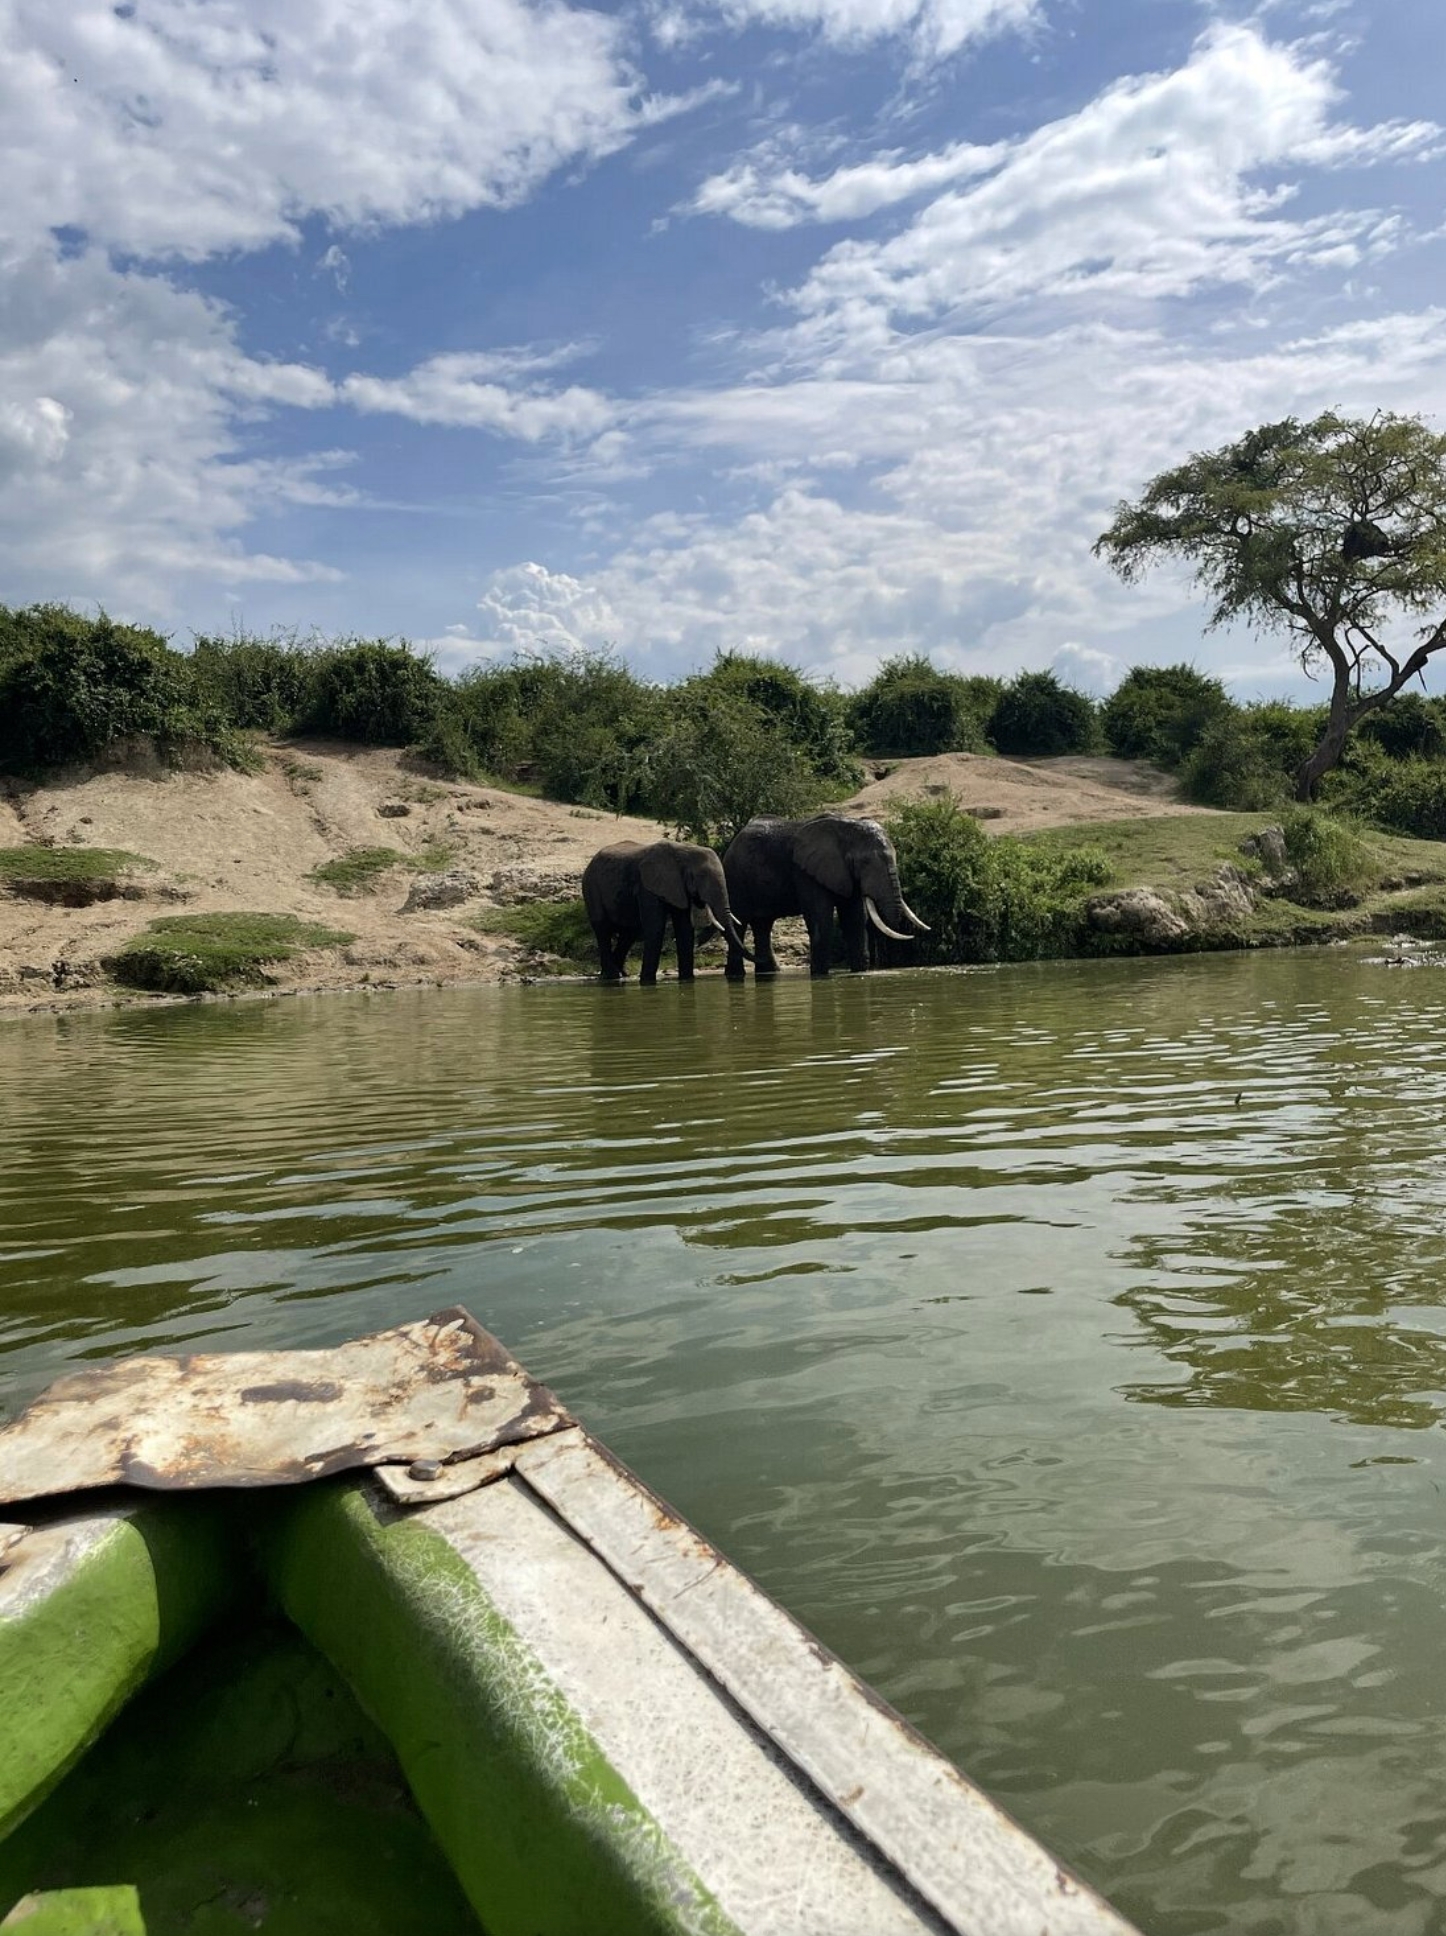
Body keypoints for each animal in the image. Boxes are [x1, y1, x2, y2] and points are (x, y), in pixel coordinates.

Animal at [581, 839, 751, 986]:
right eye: (700, 877)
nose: (700, 942)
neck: (683, 850)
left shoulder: (678, 887)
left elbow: (684, 929)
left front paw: (687, 981)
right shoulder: (647, 886)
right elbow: (655, 928)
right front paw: (647, 983)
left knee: (630, 933)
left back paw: (620, 974)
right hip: (591, 887)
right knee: (603, 929)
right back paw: (612, 975)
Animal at [722, 813, 928, 979]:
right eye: (865, 862)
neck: (845, 826)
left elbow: (855, 919)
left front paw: (859, 973)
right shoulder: (805, 872)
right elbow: (821, 918)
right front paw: (820, 976)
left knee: (763, 925)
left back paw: (768, 971)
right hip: (734, 878)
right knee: (739, 924)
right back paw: (735, 975)